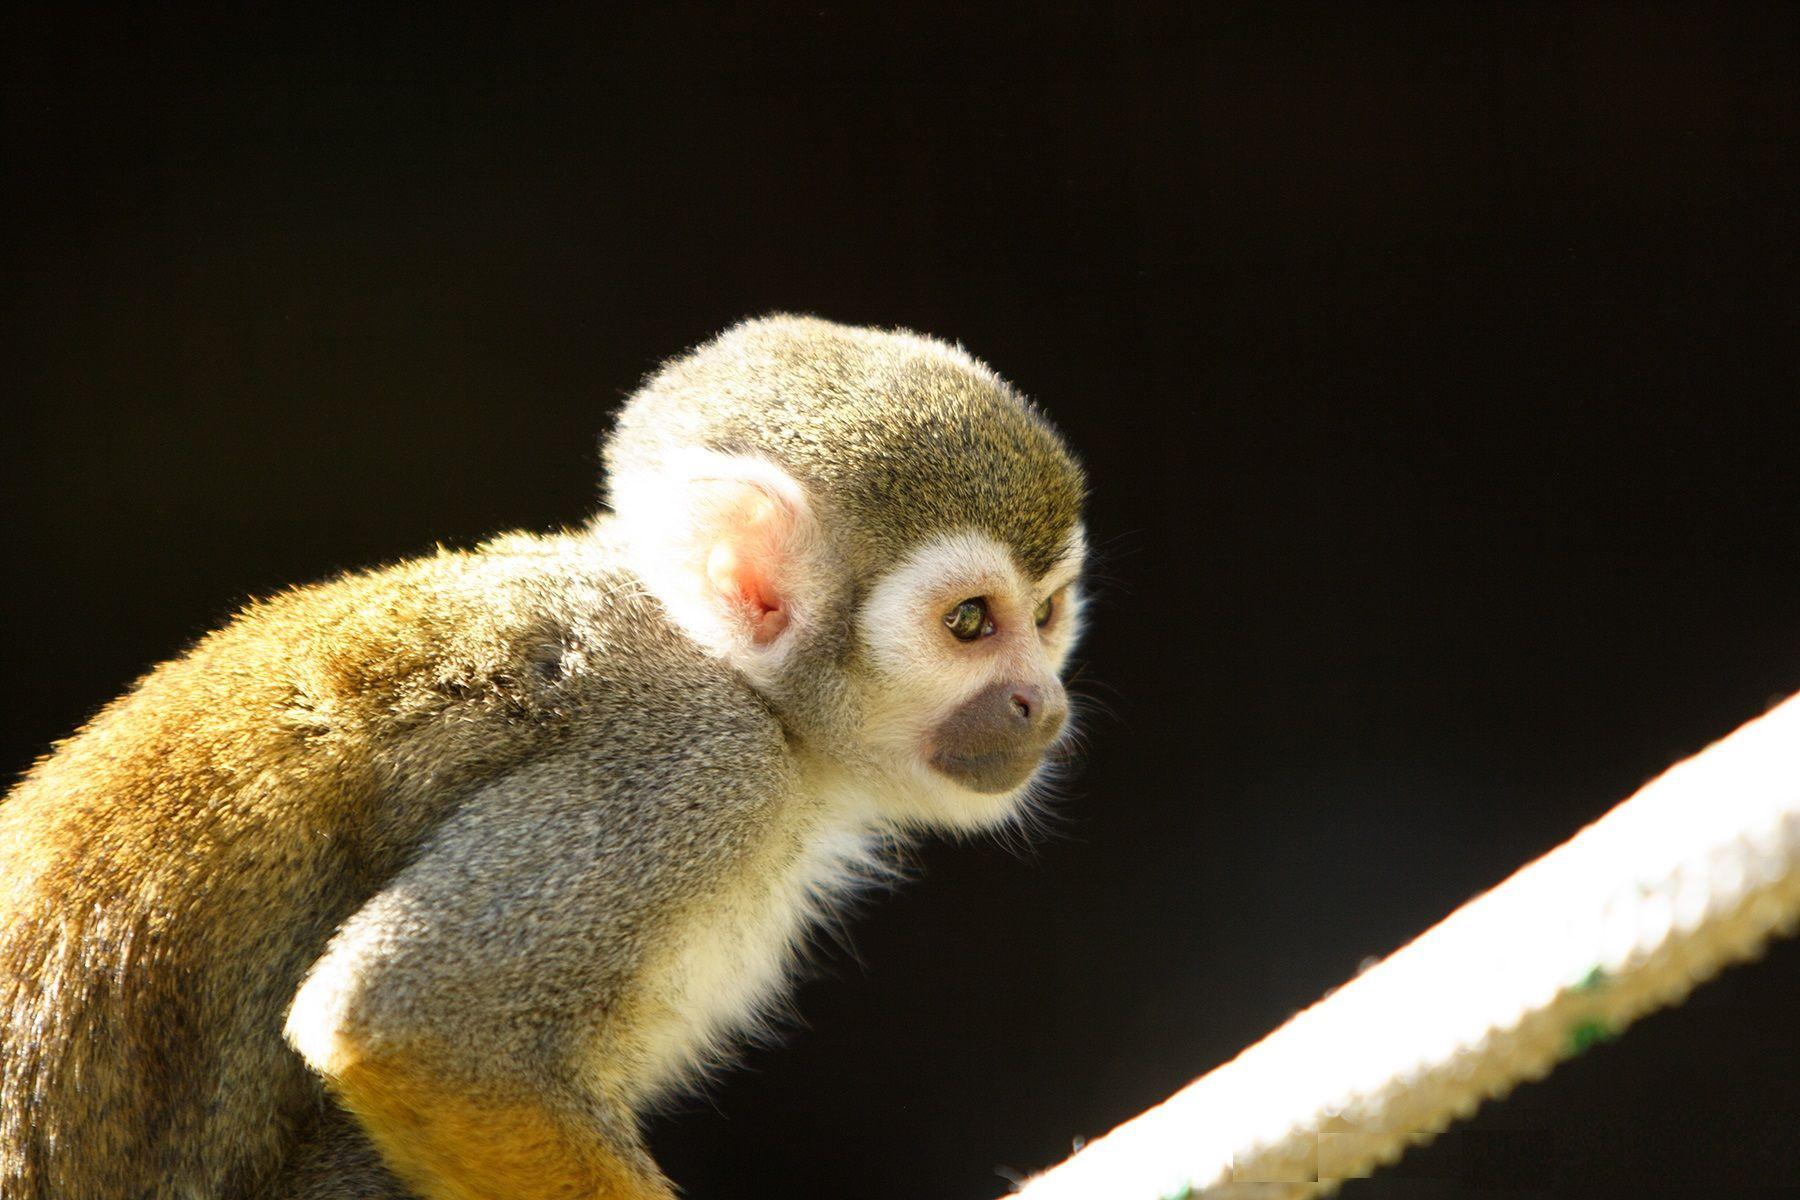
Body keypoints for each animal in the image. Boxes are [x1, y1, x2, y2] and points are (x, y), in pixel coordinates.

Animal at [0, 314, 1089, 1200]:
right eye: (969, 624)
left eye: (1045, 616)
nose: (1043, 702)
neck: (735, 680)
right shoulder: (689, 766)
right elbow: (405, 1022)